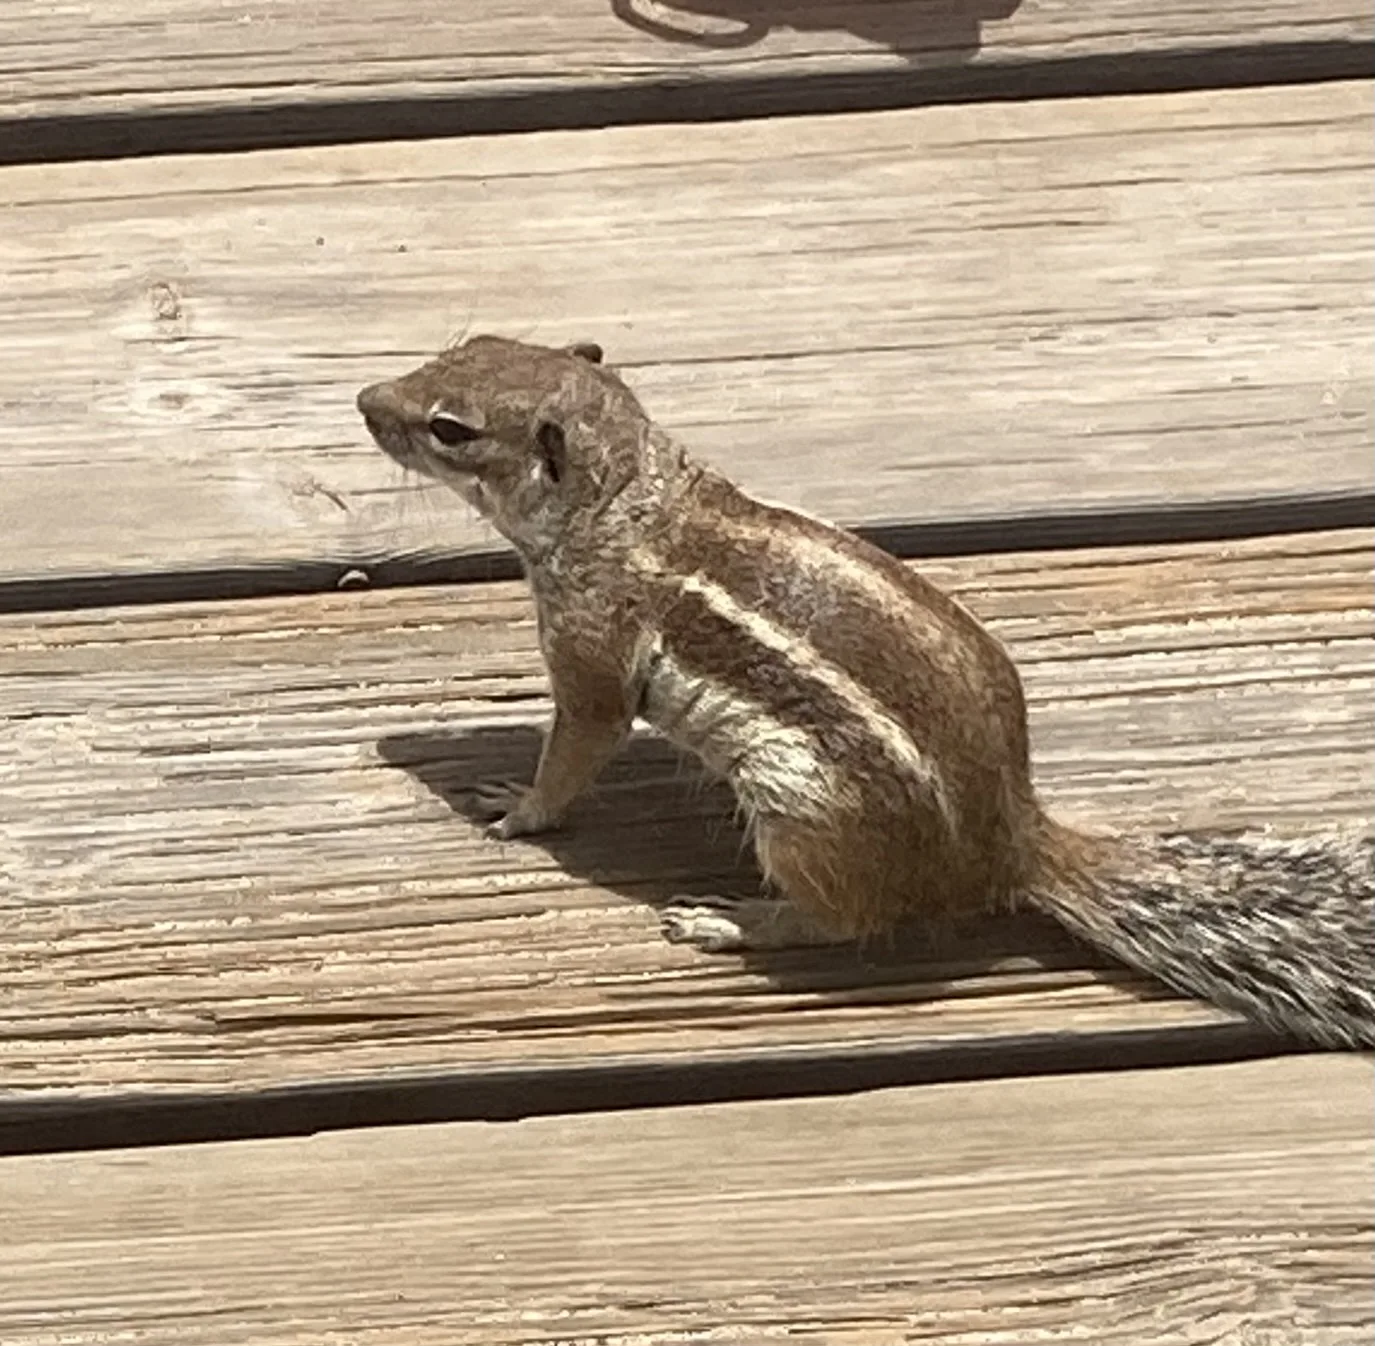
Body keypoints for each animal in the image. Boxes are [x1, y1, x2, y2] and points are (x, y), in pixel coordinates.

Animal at [357, 334, 1375, 1051]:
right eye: (465, 342)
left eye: (451, 426)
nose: (367, 400)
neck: (628, 499)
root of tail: (1010, 844)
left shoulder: (591, 645)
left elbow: (576, 749)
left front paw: (515, 809)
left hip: (804, 819)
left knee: (840, 922)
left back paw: (733, 921)